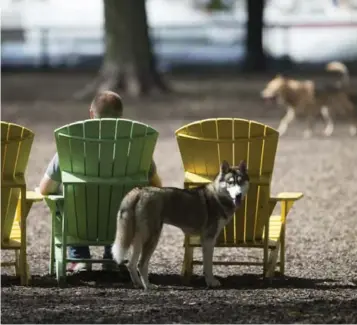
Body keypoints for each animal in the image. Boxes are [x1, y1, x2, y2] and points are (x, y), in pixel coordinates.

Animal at [112, 159, 249, 288]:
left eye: (240, 182)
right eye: (230, 182)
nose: (238, 195)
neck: (218, 196)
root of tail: (139, 191)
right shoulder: (208, 239)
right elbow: (208, 265)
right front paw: (211, 282)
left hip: (139, 238)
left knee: (131, 264)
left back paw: (139, 284)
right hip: (152, 237)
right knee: (141, 264)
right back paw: (148, 286)